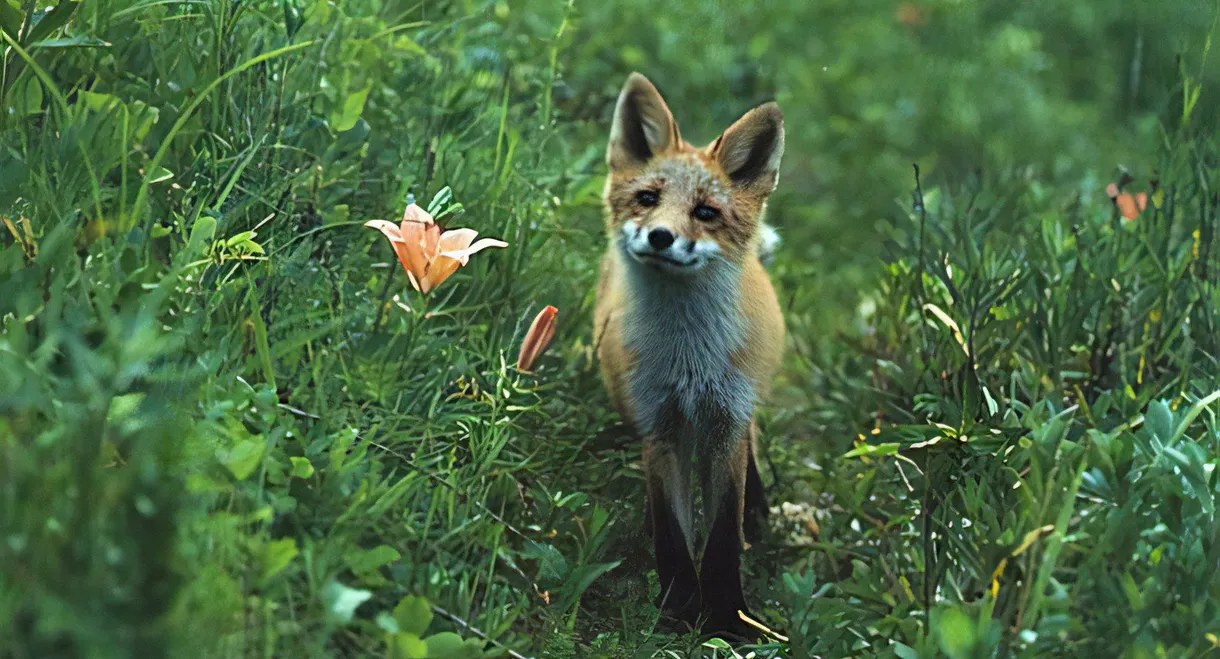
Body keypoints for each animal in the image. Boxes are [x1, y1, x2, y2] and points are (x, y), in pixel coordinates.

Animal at [593, 72, 786, 637]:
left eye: (705, 212)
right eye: (647, 198)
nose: (661, 236)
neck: (688, 363)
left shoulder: (724, 423)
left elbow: (721, 536)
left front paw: (726, 619)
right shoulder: (660, 426)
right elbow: (673, 537)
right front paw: (678, 613)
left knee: (752, 448)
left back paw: (758, 512)